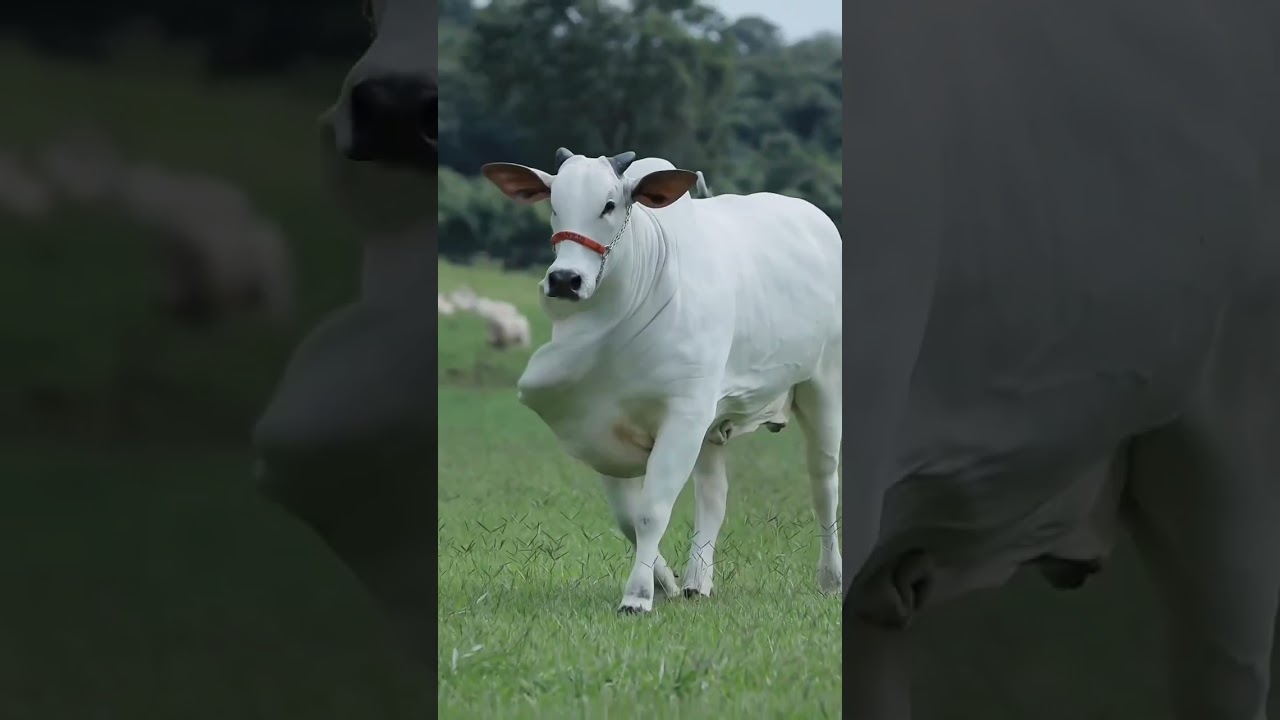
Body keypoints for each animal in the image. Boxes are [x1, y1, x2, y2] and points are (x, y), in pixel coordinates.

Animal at [479, 146, 843, 612]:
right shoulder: (599, 425)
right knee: (714, 493)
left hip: (823, 387)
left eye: (610, 204)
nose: (564, 280)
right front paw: (664, 583)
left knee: (823, 483)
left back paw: (830, 578)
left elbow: (652, 510)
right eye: (554, 205)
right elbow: (628, 519)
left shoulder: (683, 415)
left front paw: (636, 596)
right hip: (712, 421)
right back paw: (697, 582)